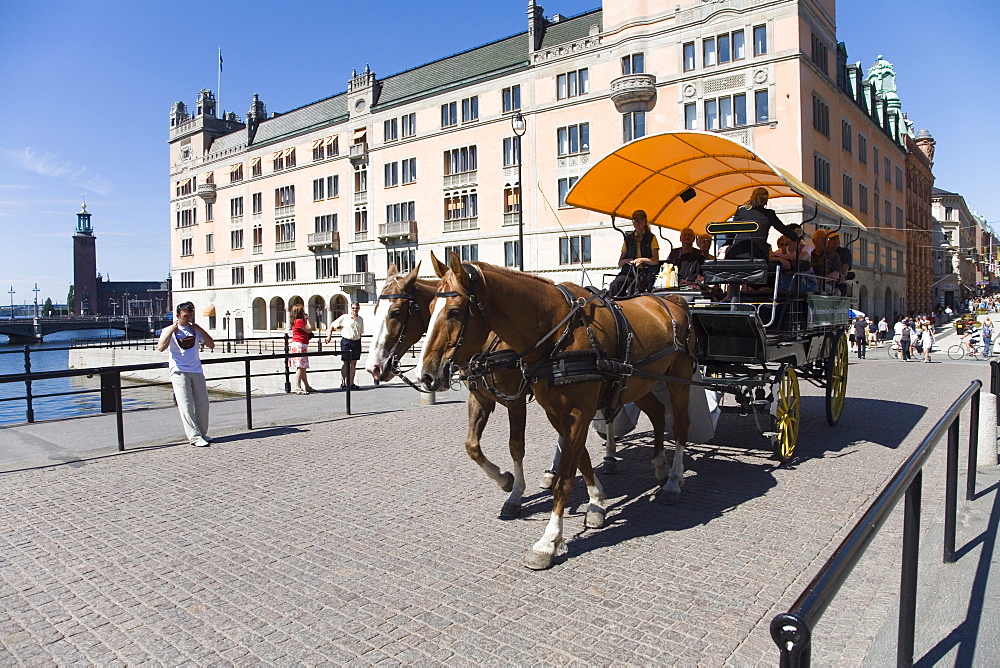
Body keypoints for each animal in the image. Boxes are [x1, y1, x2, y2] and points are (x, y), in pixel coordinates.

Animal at [364, 260, 544, 516]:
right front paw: (504, 479)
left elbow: (516, 446)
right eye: (375, 311)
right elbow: (472, 446)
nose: (374, 367)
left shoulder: (515, 400)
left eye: (396, 312)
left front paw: (516, 493)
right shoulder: (479, 398)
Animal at [416, 254, 696, 568]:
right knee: (659, 414)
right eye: (429, 309)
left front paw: (548, 541)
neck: (556, 333)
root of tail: (673, 300)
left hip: (679, 380)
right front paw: (595, 502)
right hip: (640, 383)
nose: (426, 375)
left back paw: (673, 481)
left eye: (453, 311)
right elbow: (579, 458)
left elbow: (562, 477)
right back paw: (659, 465)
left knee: (681, 425)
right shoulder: (555, 411)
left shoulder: (572, 411)